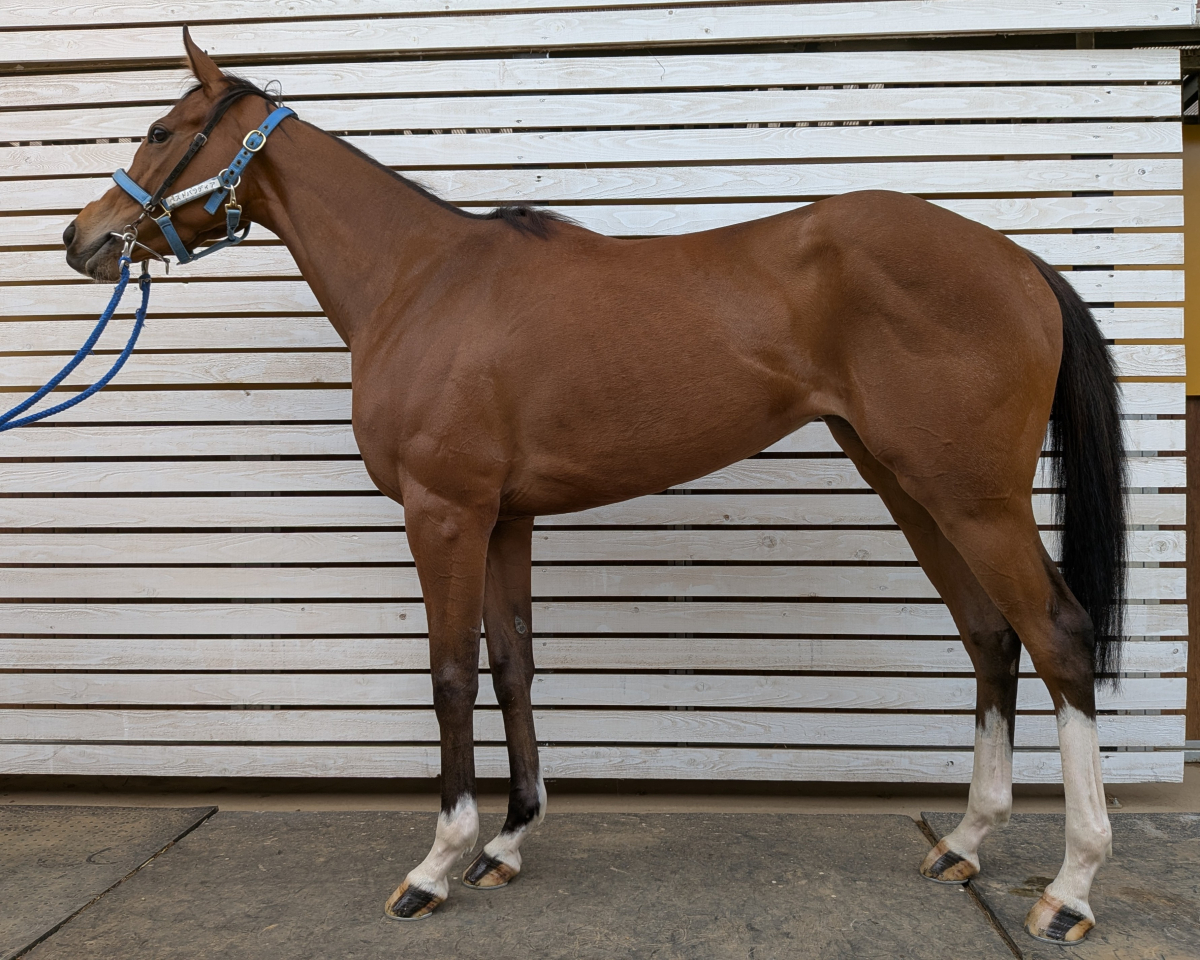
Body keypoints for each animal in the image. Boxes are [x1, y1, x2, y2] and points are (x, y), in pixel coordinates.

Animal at [63, 29, 1125, 944]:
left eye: (159, 131)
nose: (83, 238)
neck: (421, 283)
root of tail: (1017, 260)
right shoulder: (505, 519)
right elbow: (512, 665)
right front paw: (507, 842)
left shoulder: (444, 515)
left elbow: (450, 676)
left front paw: (436, 864)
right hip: (914, 485)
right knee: (990, 637)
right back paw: (966, 843)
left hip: (974, 498)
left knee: (1057, 636)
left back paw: (1071, 889)